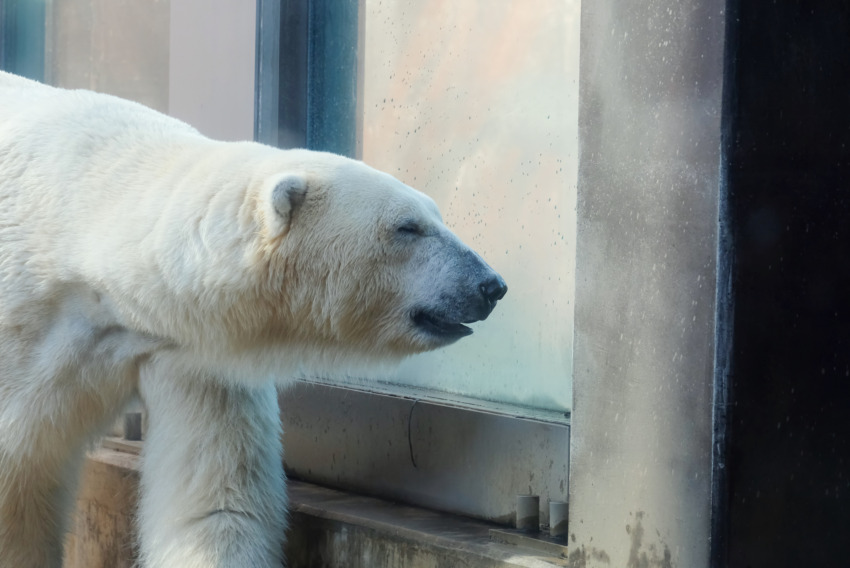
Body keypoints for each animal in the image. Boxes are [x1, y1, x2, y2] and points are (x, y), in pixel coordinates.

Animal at [0, 72, 504, 568]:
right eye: (408, 227)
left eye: (436, 215)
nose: (491, 285)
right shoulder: (31, 333)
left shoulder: (197, 357)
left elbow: (215, 496)